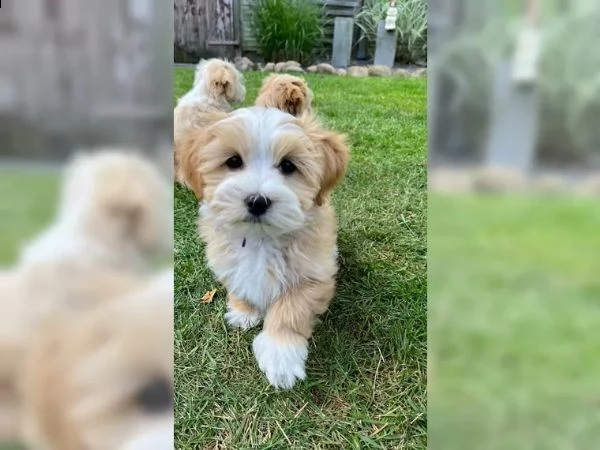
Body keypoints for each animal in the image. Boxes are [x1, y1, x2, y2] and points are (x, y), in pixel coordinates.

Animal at [178, 105, 350, 386]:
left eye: (288, 165)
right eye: (233, 161)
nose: (257, 201)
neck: (261, 238)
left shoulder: (314, 275)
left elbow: (291, 309)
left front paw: (281, 355)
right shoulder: (227, 262)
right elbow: (240, 283)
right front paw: (243, 311)